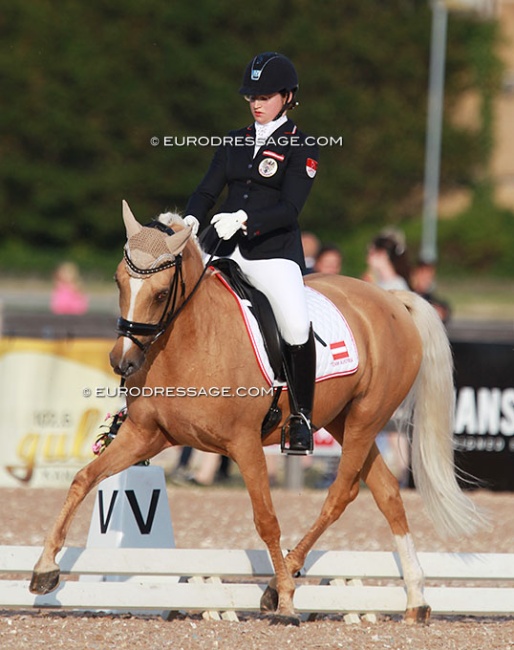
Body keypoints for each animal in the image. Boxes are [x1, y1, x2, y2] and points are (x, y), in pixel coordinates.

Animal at [30, 201, 482, 624]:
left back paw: (280, 585)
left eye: (160, 294)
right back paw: (416, 598)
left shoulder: (244, 443)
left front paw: (286, 601)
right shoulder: (147, 435)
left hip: (365, 419)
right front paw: (45, 570)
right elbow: (83, 478)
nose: (122, 362)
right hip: (343, 420)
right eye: (119, 282)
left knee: (342, 494)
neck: (191, 339)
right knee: (387, 492)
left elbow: (266, 519)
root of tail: (392, 300)